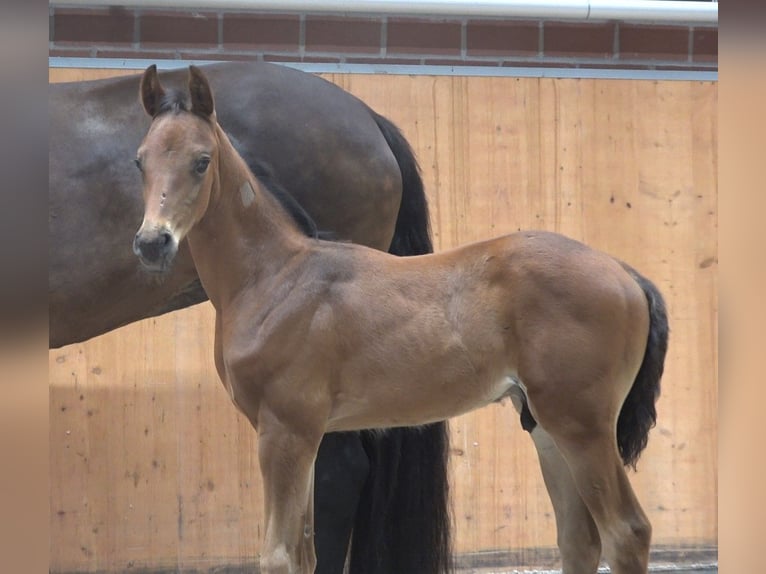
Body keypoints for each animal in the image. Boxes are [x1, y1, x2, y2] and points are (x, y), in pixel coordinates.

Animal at [134, 65, 672, 572]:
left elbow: (279, 556)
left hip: (583, 425)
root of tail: (626, 274)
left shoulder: (285, 430)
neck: (274, 277)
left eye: (201, 161)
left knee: (627, 532)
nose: (152, 243)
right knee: (579, 540)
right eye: (140, 160)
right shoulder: (307, 435)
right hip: (544, 428)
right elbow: (306, 554)